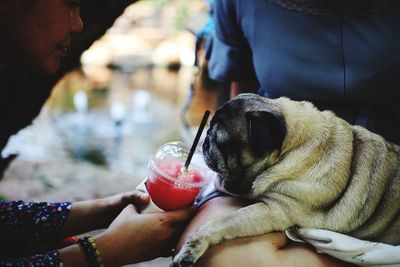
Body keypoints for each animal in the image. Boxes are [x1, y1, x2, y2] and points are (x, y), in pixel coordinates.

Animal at [171, 93, 400, 267]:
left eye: (220, 140)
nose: (205, 141)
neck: (294, 145)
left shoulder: (273, 210)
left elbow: (221, 222)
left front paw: (192, 247)